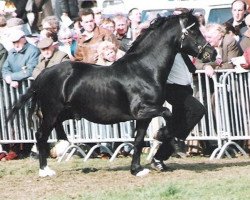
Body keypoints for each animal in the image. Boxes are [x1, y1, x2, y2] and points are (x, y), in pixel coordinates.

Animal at [7, 11, 215, 177]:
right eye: (194, 31)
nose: (211, 53)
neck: (145, 69)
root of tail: (43, 74)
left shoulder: (144, 116)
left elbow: (138, 140)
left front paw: (137, 170)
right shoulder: (142, 110)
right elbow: (168, 113)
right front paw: (167, 138)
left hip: (65, 112)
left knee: (53, 131)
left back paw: (63, 145)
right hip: (51, 112)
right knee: (40, 136)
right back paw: (45, 170)